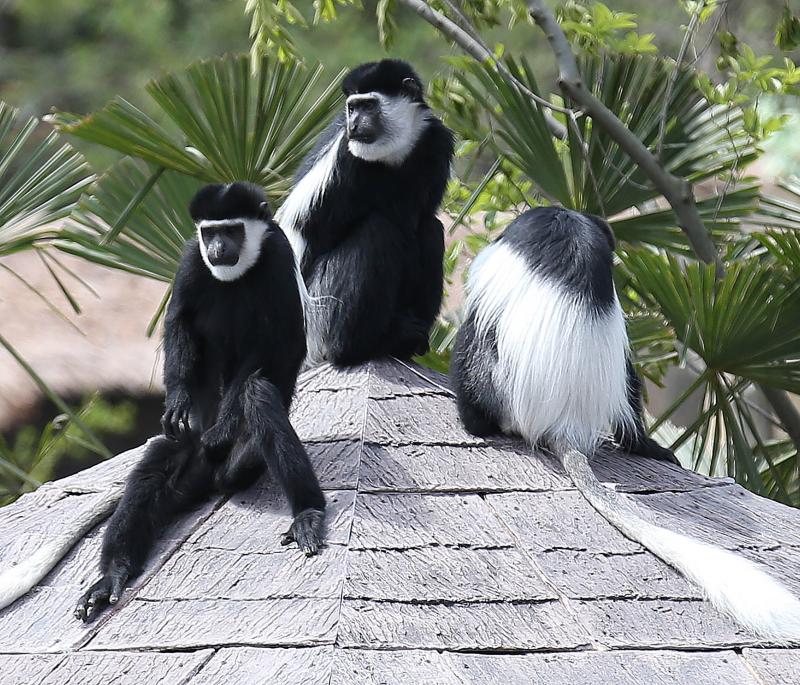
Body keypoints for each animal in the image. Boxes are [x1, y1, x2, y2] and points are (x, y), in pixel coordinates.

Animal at [0, 182, 328, 620]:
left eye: (233, 230)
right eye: (210, 232)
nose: (218, 249)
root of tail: (211, 475)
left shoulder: (277, 256)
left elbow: (273, 342)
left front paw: (224, 426)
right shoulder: (191, 259)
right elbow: (179, 321)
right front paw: (176, 403)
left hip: (243, 463)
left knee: (257, 397)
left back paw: (307, 511)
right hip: (185, 463)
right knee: (154, 467)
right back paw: (112, 577)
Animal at [276, 58, 454, 366]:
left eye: (369, 106)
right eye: (352, 108)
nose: (354, 125)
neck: (393, 152)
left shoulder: (435, 144)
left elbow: (416, 221)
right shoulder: (346, 159)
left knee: (430, 229)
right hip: (319, 313)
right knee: (377, 229)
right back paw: (358, 346)